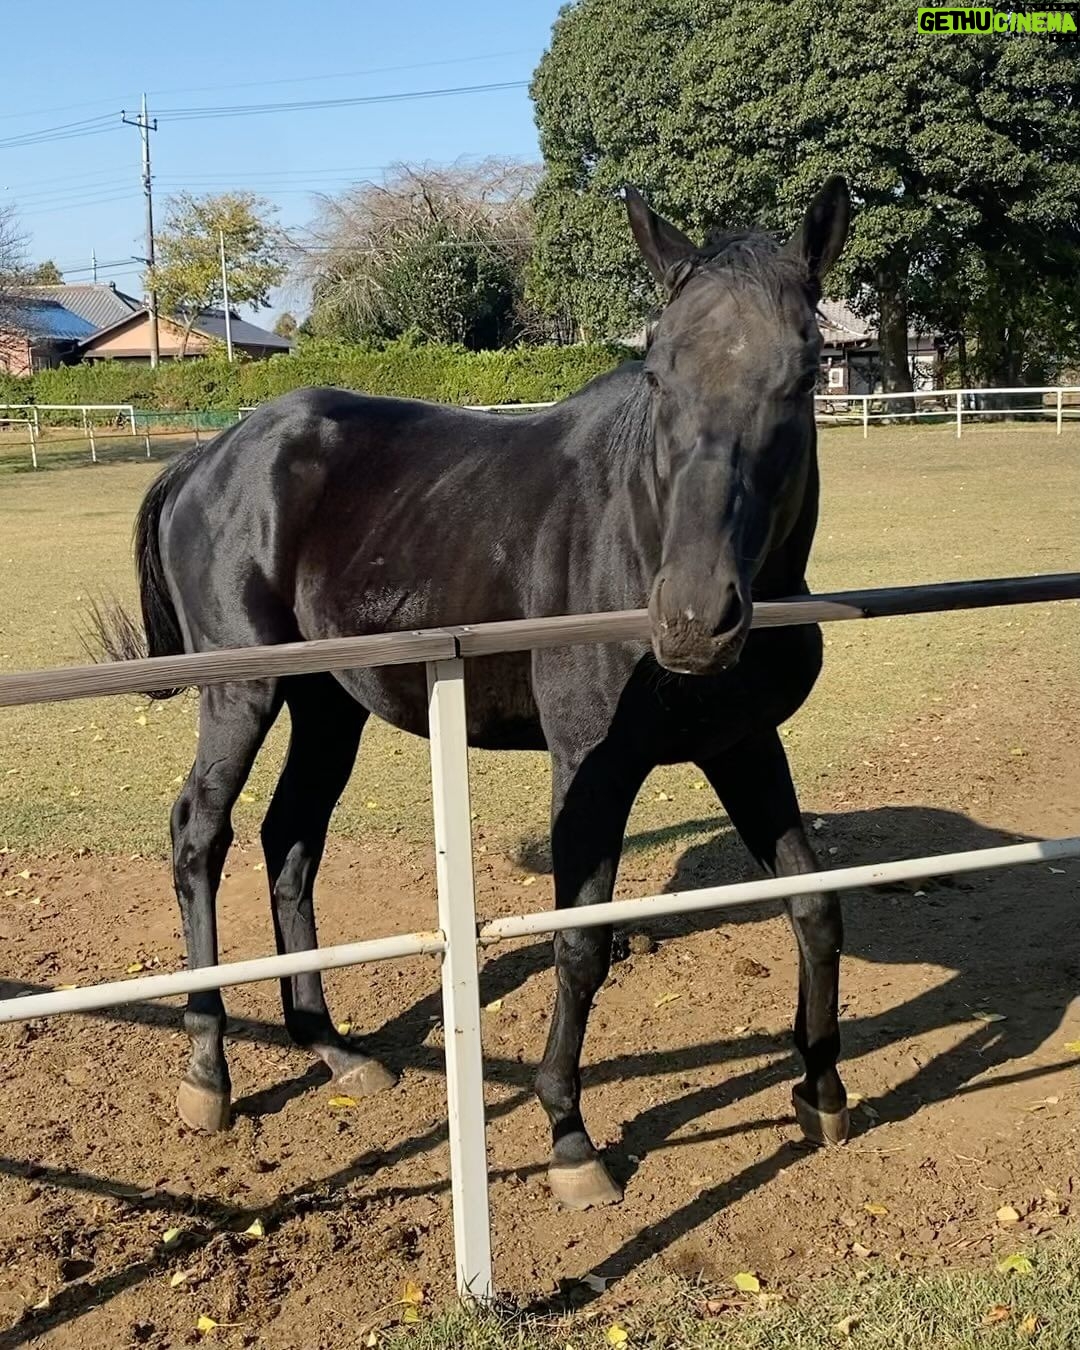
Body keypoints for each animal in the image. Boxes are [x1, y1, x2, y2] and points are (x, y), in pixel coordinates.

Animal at [98, 175, 851, 1211]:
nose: (695, 618)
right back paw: (209, 1071)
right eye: (657, 371)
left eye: (805, 372)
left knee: (290, 840)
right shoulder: (591, 764)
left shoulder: (742, 744)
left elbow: (813, 904)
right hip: (243, 695)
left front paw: (821, 1088)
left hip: (329, 706)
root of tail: (209, 456)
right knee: (199, 839)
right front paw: (570, 1136)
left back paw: (330, 1046)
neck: (640, 529)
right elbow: (581, 943)